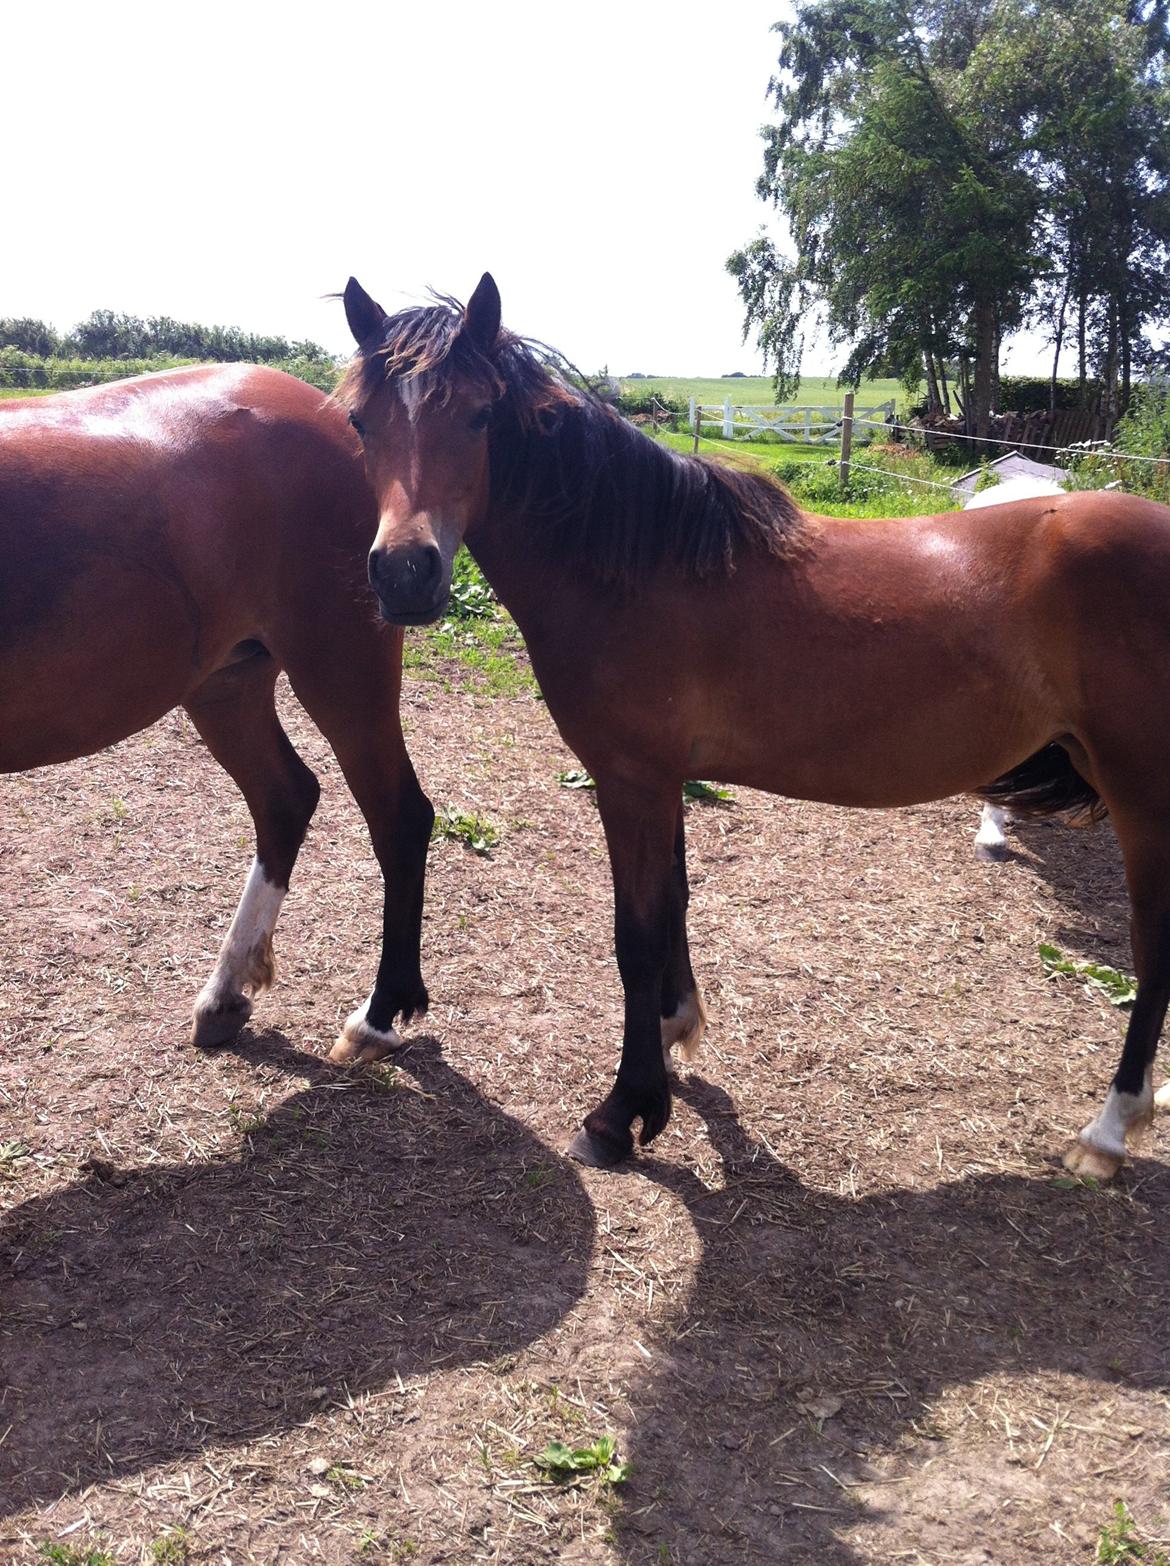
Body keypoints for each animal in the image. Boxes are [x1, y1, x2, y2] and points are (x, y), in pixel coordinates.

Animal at [1, 360, 435, 1058]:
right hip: (228, 683)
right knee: (286, 796)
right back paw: (225, 994)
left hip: (341, 666)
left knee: (398, 815)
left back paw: (375, 1017)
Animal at [333, 272, 1170, 1177]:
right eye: (360, 422)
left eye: (481, 415)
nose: (405, 574)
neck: (637, 568)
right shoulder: (663, 780)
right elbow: (673, 905)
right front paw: (672, 1036)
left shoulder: (631, 781)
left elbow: (637, 934)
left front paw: (623, 1111)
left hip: (1143, 796)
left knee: (1153, 948)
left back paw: (1109, 1131)